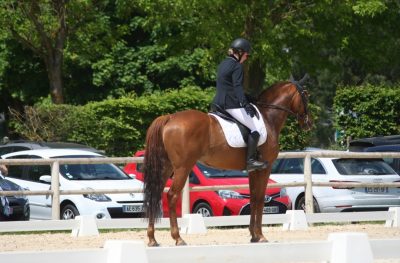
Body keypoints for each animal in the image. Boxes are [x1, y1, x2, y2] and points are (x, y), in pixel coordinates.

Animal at [142, 81, 310, 248]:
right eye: (306, 95)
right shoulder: (265, 168)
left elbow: (253, 198)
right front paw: (260, 236)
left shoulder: (253, 170)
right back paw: (178, 238)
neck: (268, 117)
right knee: (172, 195)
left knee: (155, 194)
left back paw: (152, 239)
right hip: (183, 167)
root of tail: (169, 118)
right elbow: (260, 198)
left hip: (166, 167)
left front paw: (253, 235)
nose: (309, 123)